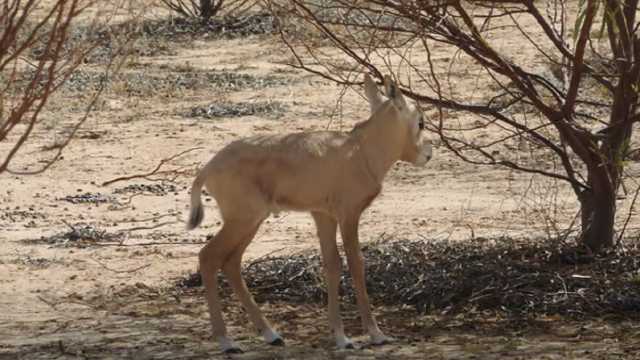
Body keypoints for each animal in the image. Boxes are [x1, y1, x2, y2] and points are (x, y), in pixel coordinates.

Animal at [188, 72, 432, 352]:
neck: (359, 151)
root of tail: (208, 168)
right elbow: (356, 263)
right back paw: (227, 341)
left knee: (231, 262)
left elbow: (332, 264)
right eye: (420, 121)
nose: (428, 154)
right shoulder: (349, 215)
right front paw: (375, 334)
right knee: (209, 256)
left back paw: (271, 335)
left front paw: (341, 337)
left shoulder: (324, 216)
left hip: (251, 221)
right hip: (242, 220)